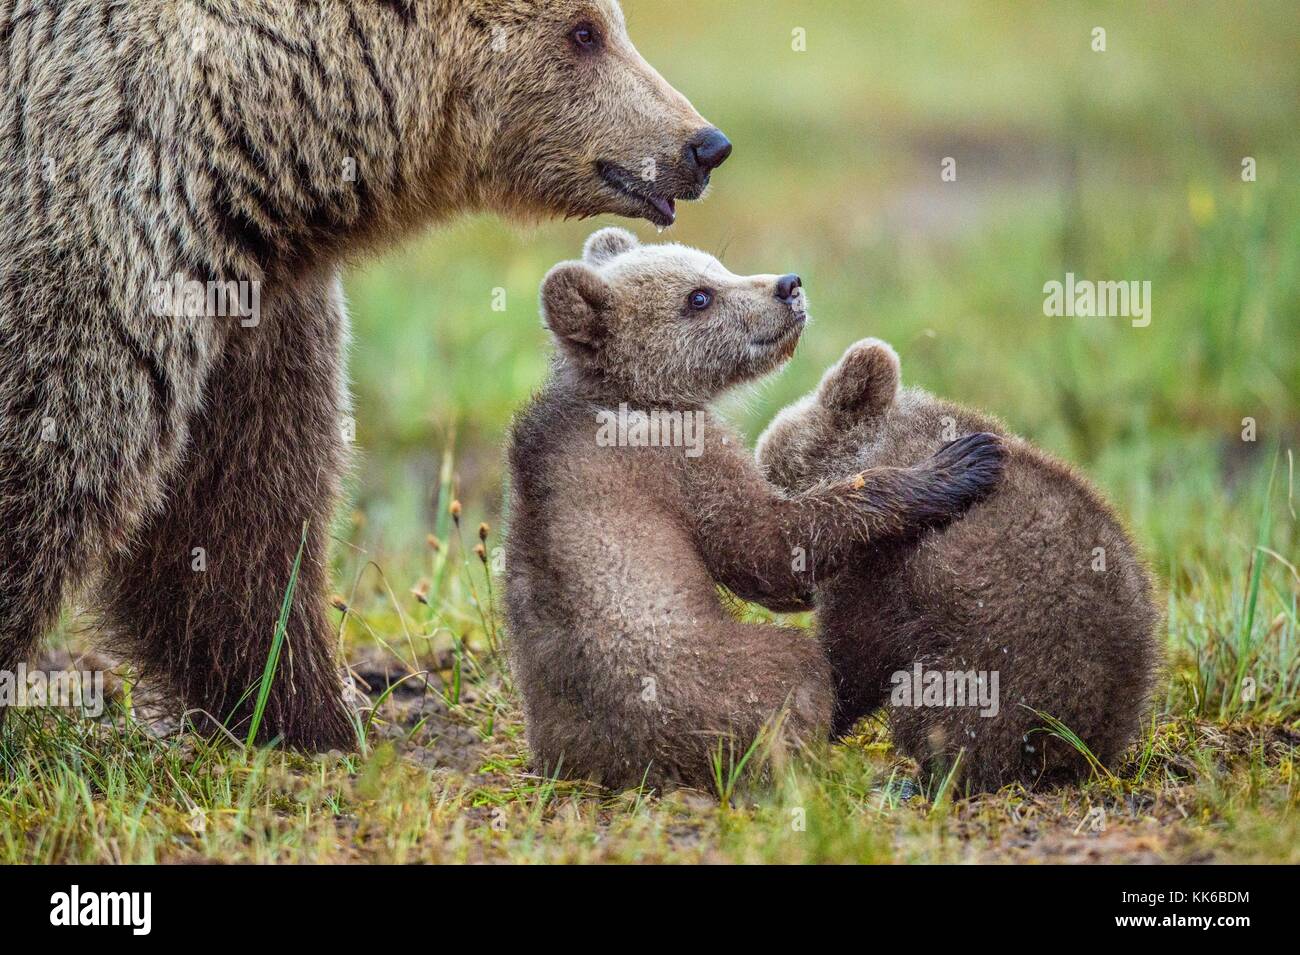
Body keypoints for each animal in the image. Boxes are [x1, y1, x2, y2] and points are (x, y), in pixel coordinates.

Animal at [0, 0, 732, 748]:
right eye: (585, 33)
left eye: (608, 24)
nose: (704, 145)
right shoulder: (100, 216)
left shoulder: (253, 308)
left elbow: (245, 502)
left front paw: (309, 711)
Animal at [505, 229, 1007, 791]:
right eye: (698, 296)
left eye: (717, 264)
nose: (788, 285)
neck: (627, 394)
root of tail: (619, 770)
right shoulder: (680, 459)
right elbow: (765, 546)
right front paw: (957, 465)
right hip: (709, 687)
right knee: (796, 670)